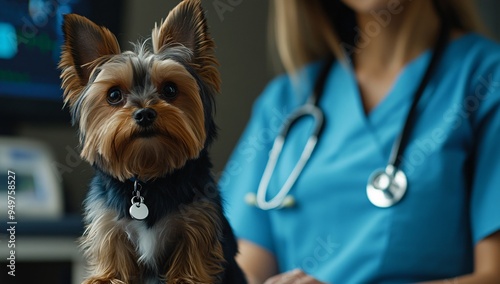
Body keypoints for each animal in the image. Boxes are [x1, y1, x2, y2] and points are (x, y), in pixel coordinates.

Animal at [58, 0, 246, 284]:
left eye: (170, 89)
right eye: (114, 95)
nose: (145, 113)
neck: (148, 179)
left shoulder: (198, 221)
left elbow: (190, 259)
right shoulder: (110, 225)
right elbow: (113, 262)